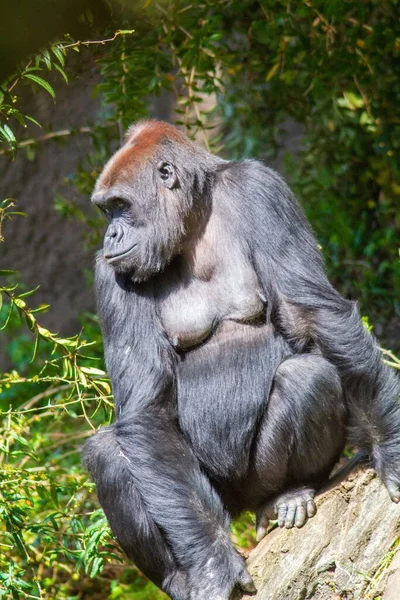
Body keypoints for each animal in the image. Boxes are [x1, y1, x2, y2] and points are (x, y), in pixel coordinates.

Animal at [82, 119, 400, 596]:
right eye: (106, 211)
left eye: (119, 206)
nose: (111, 236)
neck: (193, 219)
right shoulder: (110, 270)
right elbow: (145, 410)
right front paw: (212, 564)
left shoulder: (260, 190)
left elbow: (314, 315)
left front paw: (388, 444)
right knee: (111, 454)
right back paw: (179, 577)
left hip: (253, 489)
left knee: (306, 377)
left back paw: (288, 494)